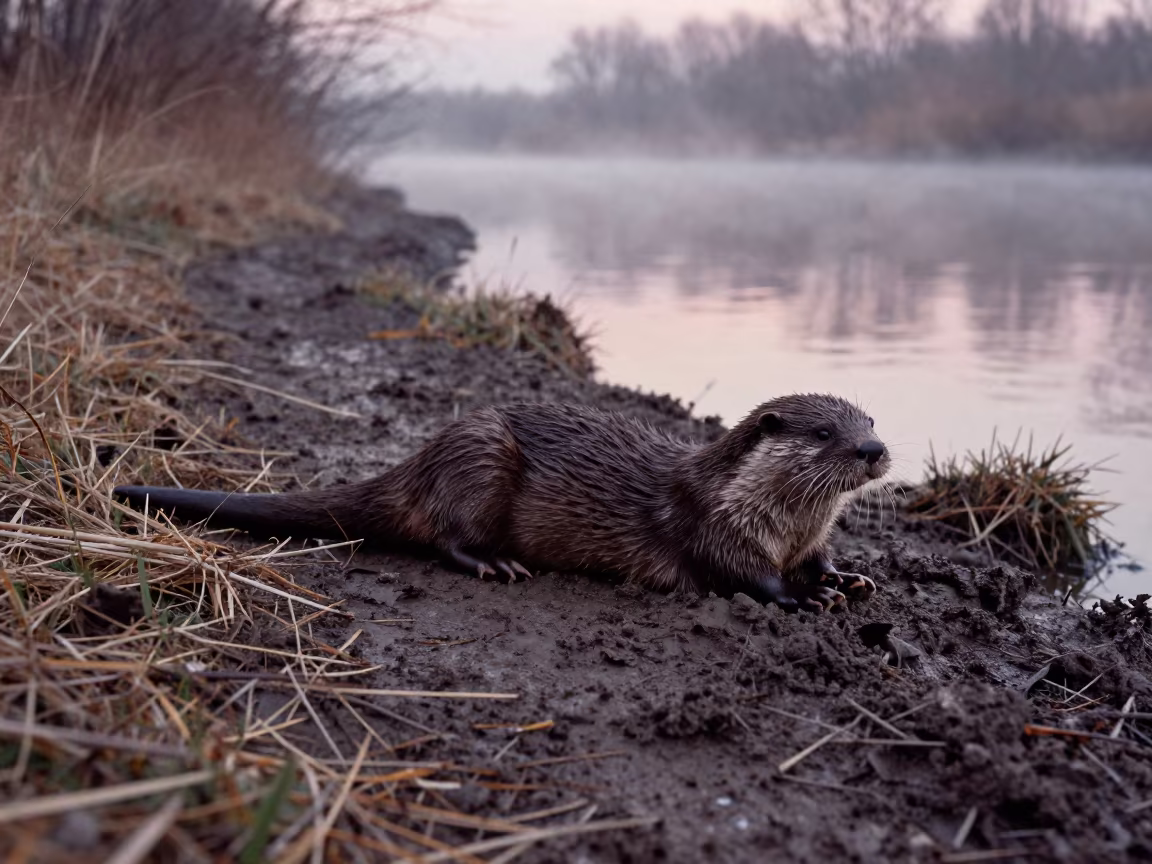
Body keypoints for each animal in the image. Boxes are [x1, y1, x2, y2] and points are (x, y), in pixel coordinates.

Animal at [113, 394, 890, 613]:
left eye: (872, 420)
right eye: (825, 433)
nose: (875, 450)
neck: (781, 525)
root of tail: (422, 458)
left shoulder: (809, 537)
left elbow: (823, 561)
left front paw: (846, 579)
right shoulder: (712, 525)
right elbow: (744, 576)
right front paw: (805, 598)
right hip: (481, 460)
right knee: (446, 537)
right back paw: (495, 565)